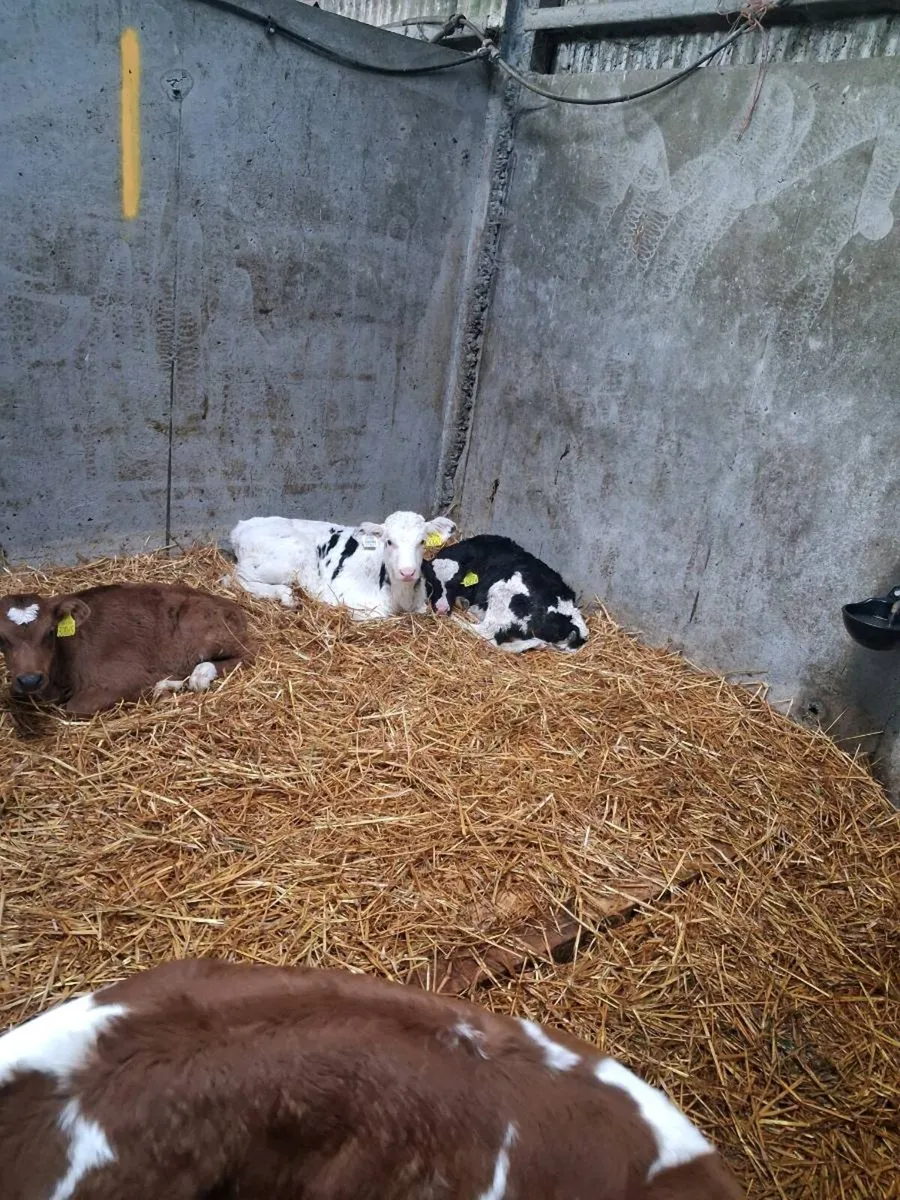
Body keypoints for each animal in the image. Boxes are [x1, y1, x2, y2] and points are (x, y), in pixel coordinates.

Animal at [0, 582, 252, 716]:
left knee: (246, 656)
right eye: (1, 638)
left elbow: (74, 708)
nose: (30, 680)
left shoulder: (122, 678)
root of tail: (233, 606)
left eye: (50, 632)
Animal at [226, 510, 456, 620]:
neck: (402, 596)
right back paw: (286, 596)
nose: (407, 571)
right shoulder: (342, 594)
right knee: (234, 578)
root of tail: (242, 526)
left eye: (422, 541)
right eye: (389, 542)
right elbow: (377, 614)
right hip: (289, 556)